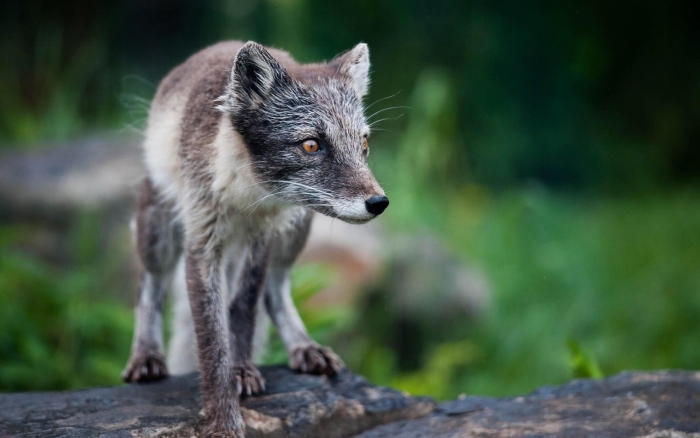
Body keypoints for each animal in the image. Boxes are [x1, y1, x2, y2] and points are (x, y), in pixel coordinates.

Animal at [121, 40, 389, 437]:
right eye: (311, 145)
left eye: (365, 141)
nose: (379, 203)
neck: (247, 196)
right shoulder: (202, 245)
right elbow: (212, 338)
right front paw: (223, 418)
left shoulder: (262, 237)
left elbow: (244, 307)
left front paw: (241, 370)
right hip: (160, 234)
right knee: (148, 287)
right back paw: (146, 355)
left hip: (295, 232)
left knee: (276, 290)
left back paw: (303, 346)